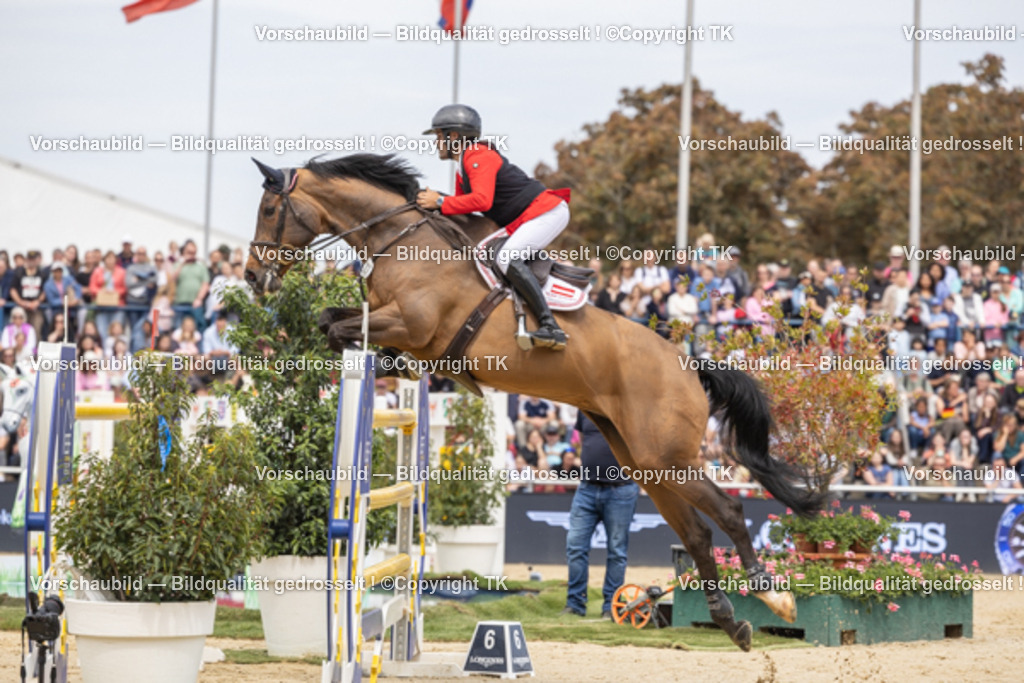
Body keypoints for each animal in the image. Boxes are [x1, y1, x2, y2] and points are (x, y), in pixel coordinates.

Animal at [244, 153, 824, 651]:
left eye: (270, 210)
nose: (252, 276)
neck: (401, 239)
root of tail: (688, 364)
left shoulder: (411, 323)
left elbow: (341, 328)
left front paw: (386, 361)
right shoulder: (395, 323)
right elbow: (332, 322)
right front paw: (391, 365)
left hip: (666, 456)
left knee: (728, 510)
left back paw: (771, 594)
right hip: (644, 460)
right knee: (698, 534)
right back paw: (731, 622)